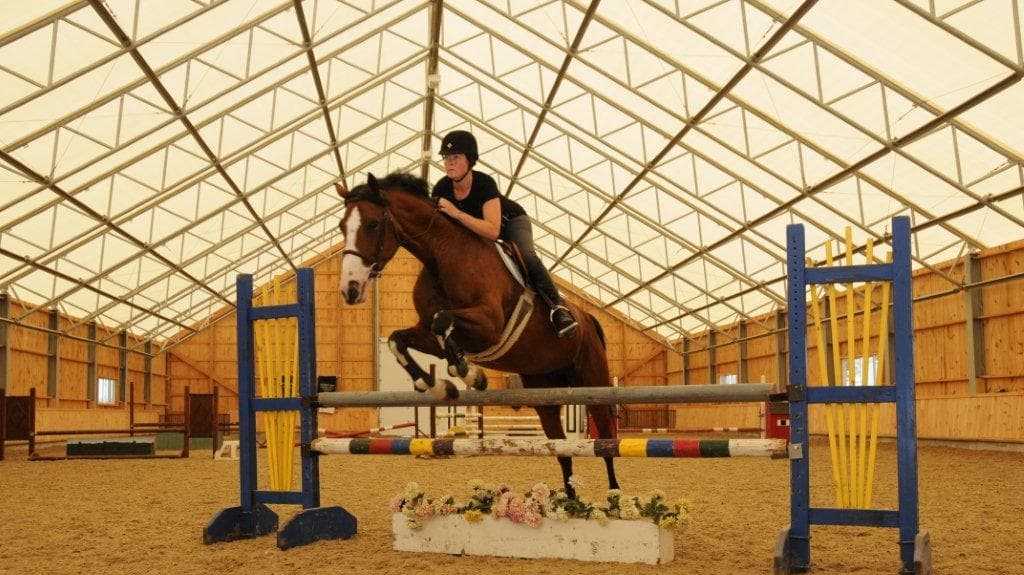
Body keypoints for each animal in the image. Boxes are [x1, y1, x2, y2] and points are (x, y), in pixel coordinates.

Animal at [335, 170, 614, 497]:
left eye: (372, 224)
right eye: (342, 227)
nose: (350, 289)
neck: (442, 256)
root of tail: (588, 318)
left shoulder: (489, 326)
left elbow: (442, 321)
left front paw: (470, 375)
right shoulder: (430, 333)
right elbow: (399, 339)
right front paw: (438, 385)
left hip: (593, 379)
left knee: (606, 440)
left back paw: (614, 497)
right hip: (544, 390)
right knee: (561, 449)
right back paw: (571, 502)